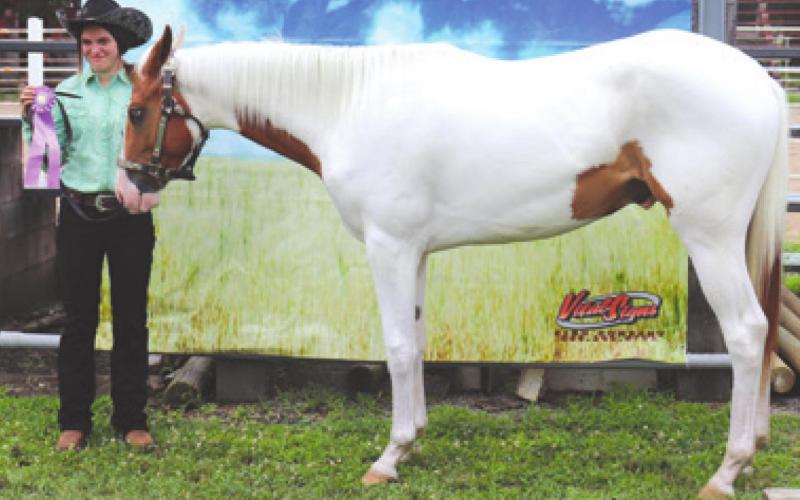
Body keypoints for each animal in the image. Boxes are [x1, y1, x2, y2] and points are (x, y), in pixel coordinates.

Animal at [118, 26, 788, 498]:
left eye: (136, 110)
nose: (129, 187)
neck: (350, 106)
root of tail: (763, 82)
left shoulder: (388, 246)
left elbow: (396, 346)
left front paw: (387, 458)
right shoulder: (414, 251)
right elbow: (415, 343)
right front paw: (411, 443)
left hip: (709, 236)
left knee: (747, 333)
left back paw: (726, 471)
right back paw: (753, 448)